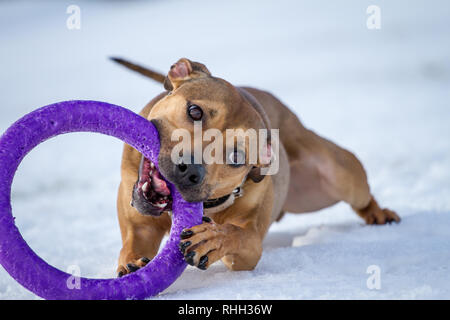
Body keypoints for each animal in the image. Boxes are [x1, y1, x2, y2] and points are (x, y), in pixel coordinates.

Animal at [110, 58, 400, 278]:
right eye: (194, 111)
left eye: (236, 156)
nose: (190, 169)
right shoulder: (139, 219)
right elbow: (134, 239)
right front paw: (133, 263)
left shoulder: (250, 247)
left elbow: (239, 235)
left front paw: (213, 238)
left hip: (341, 176)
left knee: (360, 195)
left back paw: (379, 214)